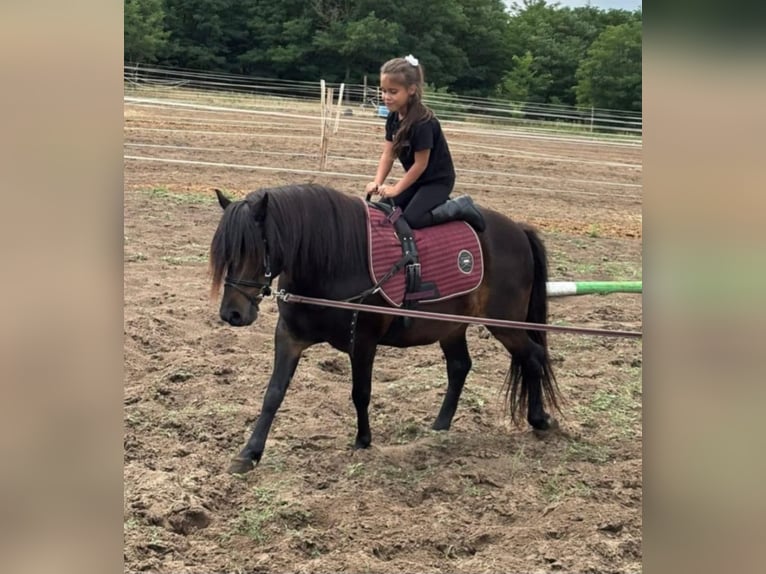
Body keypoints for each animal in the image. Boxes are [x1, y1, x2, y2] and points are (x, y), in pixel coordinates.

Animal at [210, 184, 561, 474]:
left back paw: (539, 419)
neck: (333, 260)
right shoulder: (289, 336)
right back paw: (440, 425)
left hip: (506, 324)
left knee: (533, 355)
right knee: (460, 366)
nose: (232, 314)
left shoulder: (363, 341)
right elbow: (273, 393)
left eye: (254, 249)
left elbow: (360, 393)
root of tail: (518, 230)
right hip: (451, 327)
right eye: (226, 253)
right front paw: (249, 453)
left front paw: (363, 440)